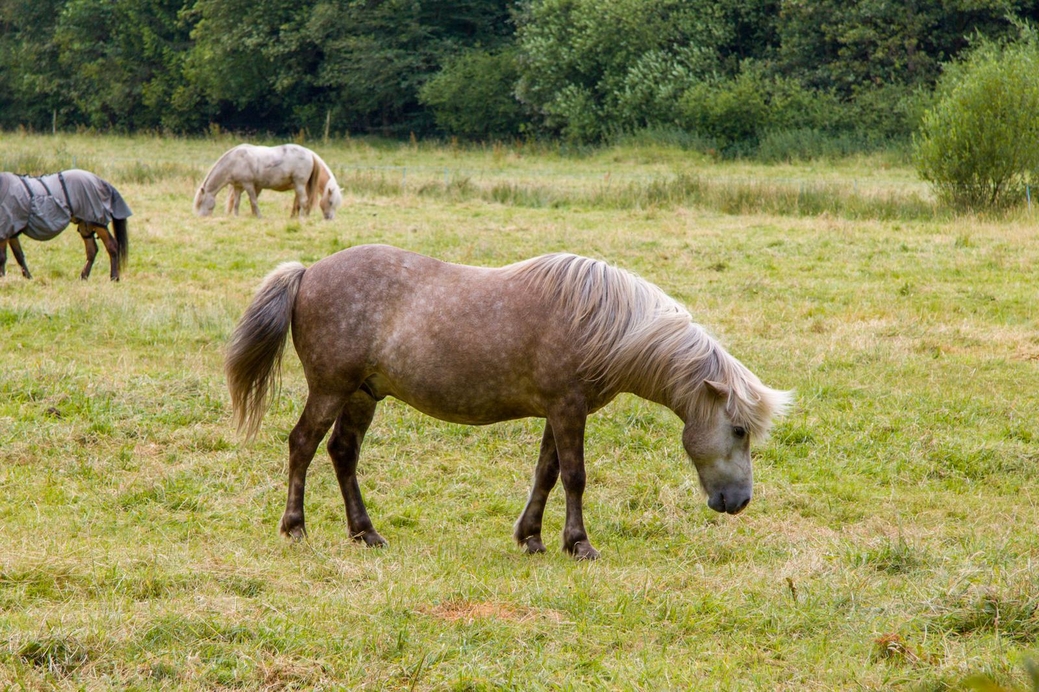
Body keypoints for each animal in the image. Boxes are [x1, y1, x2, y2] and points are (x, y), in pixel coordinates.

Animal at [0, 169, 131, 280]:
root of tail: (100, 181)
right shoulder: (11, 231)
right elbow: (18, 255)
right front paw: (28, 277)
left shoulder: (5, 232)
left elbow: (2, 257)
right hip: (85, 224)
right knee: (92, 250)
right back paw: (83, 277)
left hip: (97, 221)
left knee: (112, 245)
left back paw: (114, 277)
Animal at [193, 144, 342, 219]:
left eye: (200, 202)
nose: (201, 217)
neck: (235, 161)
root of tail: (310, 154)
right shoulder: (237, 186)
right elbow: (236, 202)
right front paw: (236, 216)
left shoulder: (248, 184)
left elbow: (253, 201)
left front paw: (259, 216)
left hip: (300, 185)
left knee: (304, 201)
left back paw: (301, 218)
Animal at [227, 245, 789, 556]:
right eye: (739, 430)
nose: (739, 502)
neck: (605, 325)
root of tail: (308, 272)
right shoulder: (568, 409)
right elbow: (575, 476)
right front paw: (579, 544)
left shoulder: (558, 412)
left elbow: (546, 473)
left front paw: (532, 538)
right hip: (330, 389)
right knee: (302, 444)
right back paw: (296, 528)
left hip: (363, 394)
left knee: (342, 453)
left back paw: (366, 534)